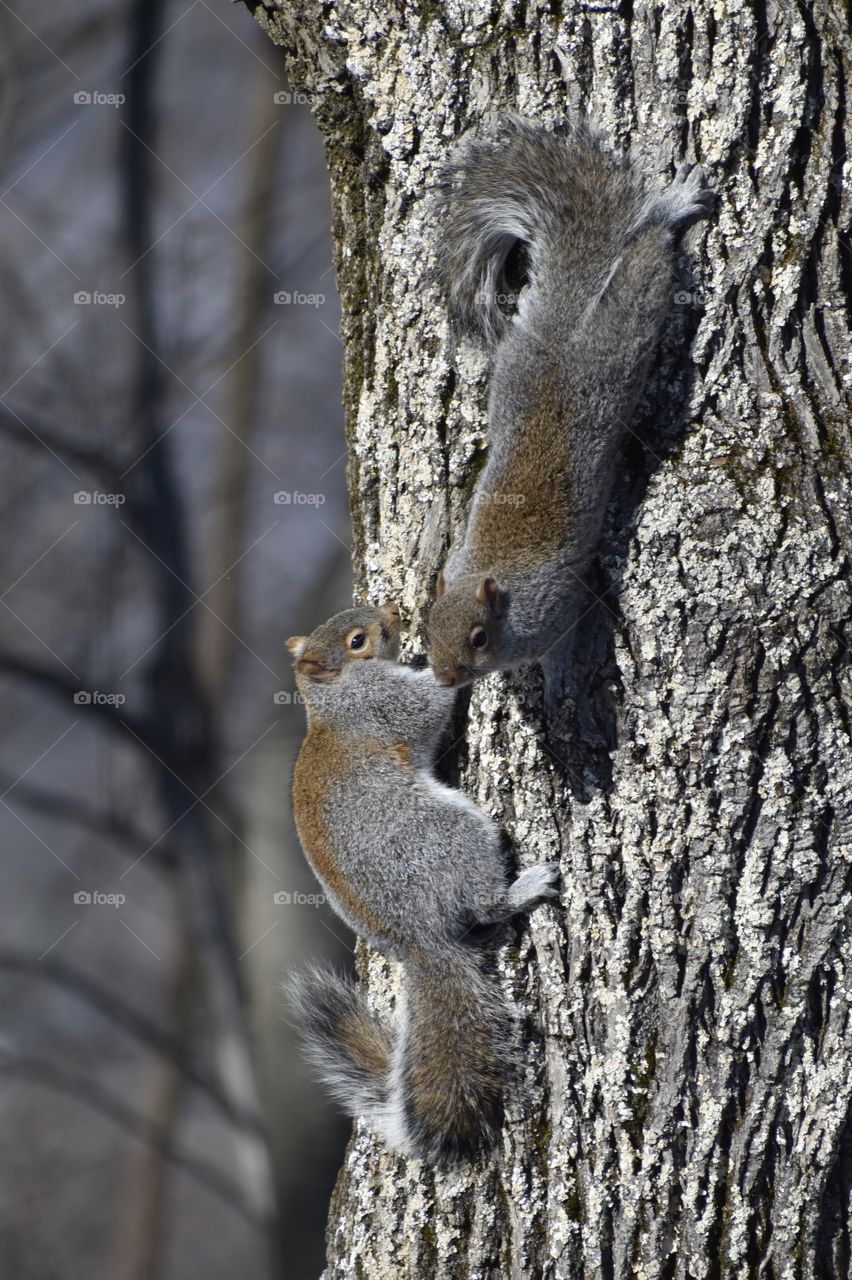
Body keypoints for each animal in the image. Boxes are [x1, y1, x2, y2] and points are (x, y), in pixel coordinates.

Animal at [284, 604, 557, 1167]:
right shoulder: (382, 703)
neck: (329, 695)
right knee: (485, 905)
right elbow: (428, 702)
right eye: (358, 639)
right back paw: (524, 888)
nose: (393, 610)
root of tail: (419, 941)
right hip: (451, 834)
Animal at [424, 115, 711, 686]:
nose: (444, 678)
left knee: (645, 263)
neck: (495, 583)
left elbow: (564, 640)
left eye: (478, 638)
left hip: (616, 345)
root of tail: (563, 330)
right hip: (514, 370)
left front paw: (555, 679)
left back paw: (671, 208)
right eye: (427, 626)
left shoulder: (555, 608)